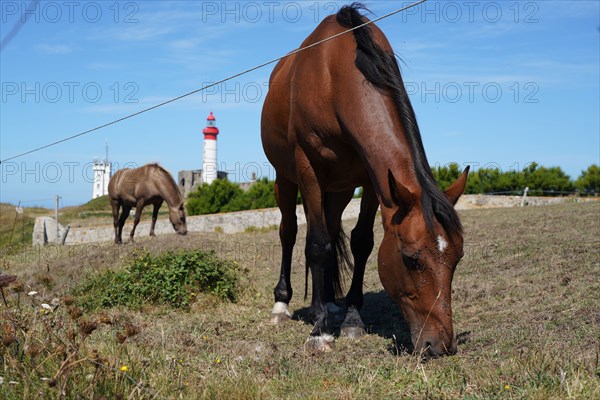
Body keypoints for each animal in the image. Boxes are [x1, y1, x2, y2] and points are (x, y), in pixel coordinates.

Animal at [262, 4, 468, 358]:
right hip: (285, 179)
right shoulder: (307, 168)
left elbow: (361, 242)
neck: (333, 77)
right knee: (290, 233)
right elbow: (316, 245)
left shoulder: (373, 178)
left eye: (458, 257)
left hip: (339, 188)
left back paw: (328, 303)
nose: (440, 345)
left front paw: (352, 319)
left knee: (330, 228)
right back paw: (284, 305)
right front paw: (320, 331)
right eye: (410, 260)